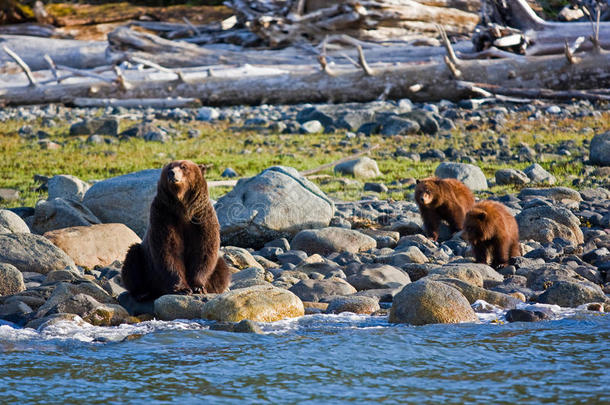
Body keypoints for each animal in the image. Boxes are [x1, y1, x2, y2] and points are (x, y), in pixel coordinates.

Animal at [121, 159, 230, 302]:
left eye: (184, 167)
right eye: (169, 167)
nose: (172, 173)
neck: (183, 208)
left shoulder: (201, 217)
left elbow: (204, 250)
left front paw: (198, 287)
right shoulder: (164, 215)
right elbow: (168, 250)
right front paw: (182, 289)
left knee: (222, 268)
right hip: (145, 263)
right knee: (132, 259)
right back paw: (142, 292)